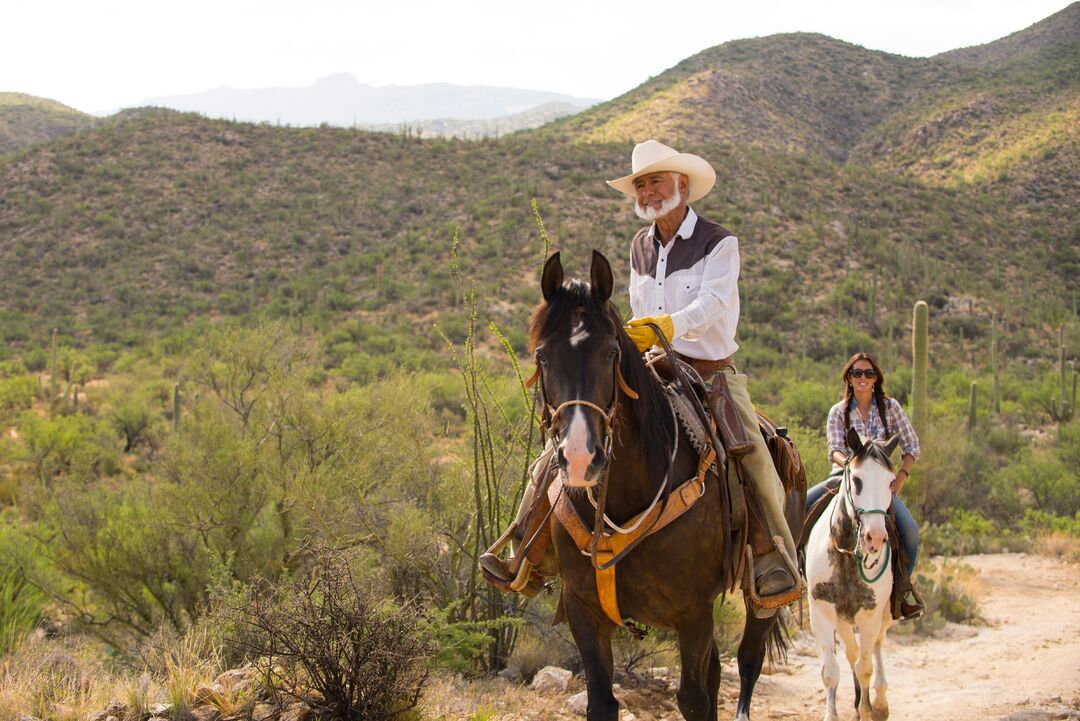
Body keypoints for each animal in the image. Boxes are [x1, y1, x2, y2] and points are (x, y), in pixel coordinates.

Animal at [533, 249, 803, 721]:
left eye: (610, 353)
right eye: (543, 356)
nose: (581, 458)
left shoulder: (693, 613)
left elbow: (693, 699)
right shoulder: (584, 609)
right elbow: (602, 701)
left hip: (764, 594)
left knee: (748, 661)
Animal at [807, 427, 898, 721]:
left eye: (891, 482)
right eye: (856, 480)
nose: (875, 538)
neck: (847, 554)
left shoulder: (870, 615)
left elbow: (865, 666)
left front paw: (869, 709)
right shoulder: (822, 613)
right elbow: (831, 672)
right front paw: (834, 714)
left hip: (883, 615)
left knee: (875, 648)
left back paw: (878, 702)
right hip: (844, 619)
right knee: (851, 652)